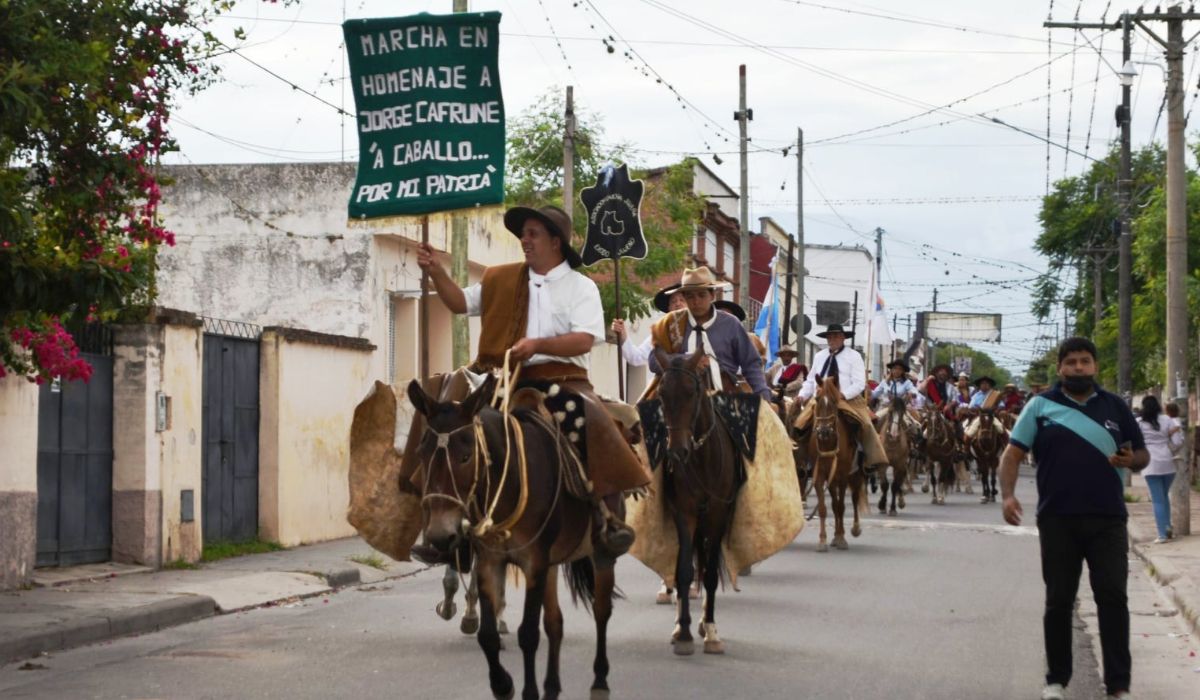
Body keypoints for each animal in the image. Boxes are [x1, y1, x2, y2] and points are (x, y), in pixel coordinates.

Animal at [410, 377, 619, 700]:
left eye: (466, 457)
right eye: (422, 454)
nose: (440, 535)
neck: (510, 482)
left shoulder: (534, 563)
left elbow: (529, 634)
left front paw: (527, 691)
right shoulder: (491, 561)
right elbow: (487, 635)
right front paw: (503, 684)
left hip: (600, 553)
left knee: (601, 610)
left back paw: (599, 680)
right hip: (551, 565)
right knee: (555, 622)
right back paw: (552, 687)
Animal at [657, 345, 739, 657]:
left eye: (692, 391)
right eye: (661, 394)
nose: (677, 452)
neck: (703, 459)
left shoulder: (717, 515)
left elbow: (712, 573)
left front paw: (712, 631)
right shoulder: (685, 513)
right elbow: (684, 571)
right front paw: (683, 632)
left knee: (706, 566)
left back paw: (705, 623)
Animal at [811, 374, 868, 549]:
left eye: (835, 401)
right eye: (817, 398)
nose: (823, 431)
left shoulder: (842, 476)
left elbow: (841, 506)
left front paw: (841, 538)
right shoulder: (820, 475)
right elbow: (824, 508)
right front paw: (823, 540)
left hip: (856, 475)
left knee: (854, 498)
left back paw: (855, 528)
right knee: (834, 504)